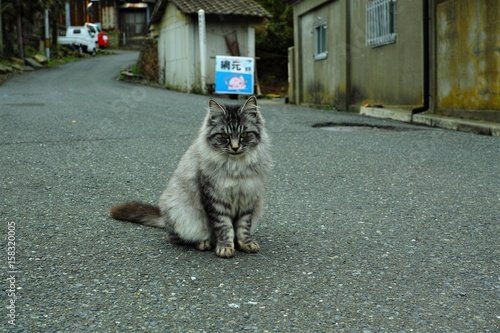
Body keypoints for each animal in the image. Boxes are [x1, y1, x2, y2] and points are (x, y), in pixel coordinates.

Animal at [111, 94, 272, 258]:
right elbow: (224, 227)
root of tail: (164, 217)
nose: (235, 147)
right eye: (224, 135)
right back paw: (203, 243)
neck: (236, 166)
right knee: (175, 237)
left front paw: (246, 244)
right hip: (180, 210)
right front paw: (225, 247)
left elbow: (243, 227)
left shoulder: (248, 199)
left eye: (244, 134)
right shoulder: (215, 199)